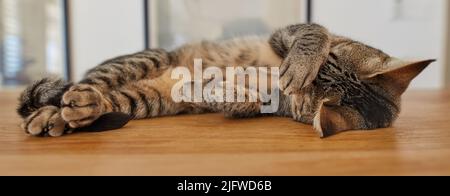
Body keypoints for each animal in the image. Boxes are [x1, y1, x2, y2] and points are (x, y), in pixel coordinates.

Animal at [16, 23, 432, 138]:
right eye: (324, 64)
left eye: (305, 95)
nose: (286, 77)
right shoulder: (282, 36)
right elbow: (313, 30)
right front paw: (300, 62)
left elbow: (244, 101)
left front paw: (219, 89)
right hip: (143, 60)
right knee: (80, 86)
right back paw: (51, 114)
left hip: (141, 100)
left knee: (101, 99)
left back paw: (66, 115)